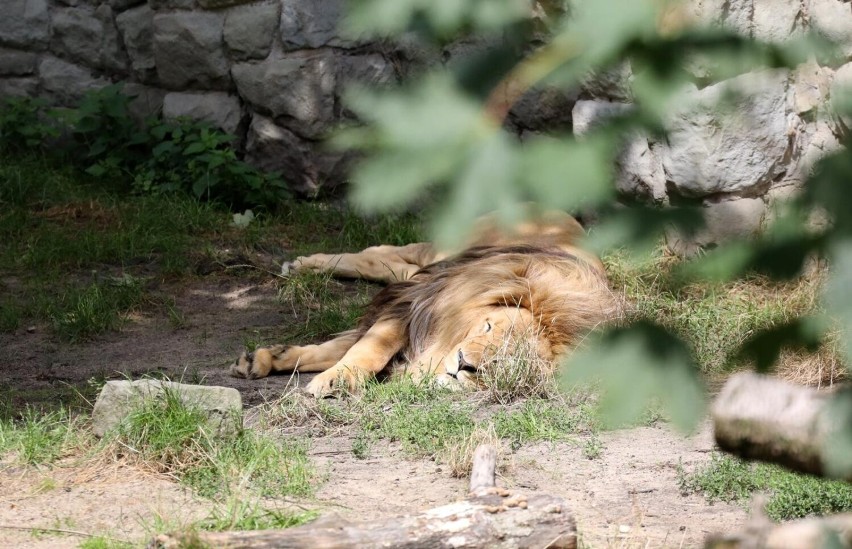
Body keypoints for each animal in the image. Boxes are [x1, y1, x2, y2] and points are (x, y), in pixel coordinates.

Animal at [230, 208, 620, 396]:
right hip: (445, 249)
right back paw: (302, 265)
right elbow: (365, 349)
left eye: (510, 361)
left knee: (391, 266)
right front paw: (335, 380)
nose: (464, 364)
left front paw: (265, 359)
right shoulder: (415, 306)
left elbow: (337, 348)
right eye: (488, 326)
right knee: (381, 252)